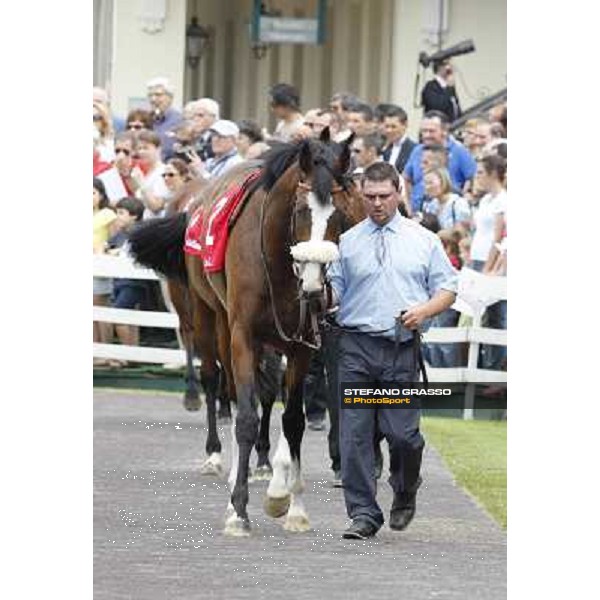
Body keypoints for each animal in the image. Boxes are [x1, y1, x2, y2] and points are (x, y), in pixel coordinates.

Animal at [130, 134, 366, 536]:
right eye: (301, 211)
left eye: (339, 214)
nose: (314, 286)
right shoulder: (243, 334)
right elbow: (245, 418)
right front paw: (238, 510)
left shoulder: (301, 344)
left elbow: (294, 420)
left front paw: (293, 506)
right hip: (208, 314)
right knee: (215, 378)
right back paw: (214, 454)